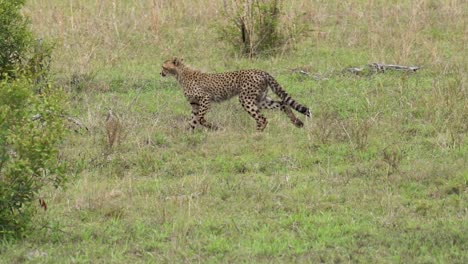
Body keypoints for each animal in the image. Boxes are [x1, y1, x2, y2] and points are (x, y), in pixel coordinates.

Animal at [161, 58, 310, 132]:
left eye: (163, 66)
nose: (160, 73)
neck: (179, 73)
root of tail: (260, 71)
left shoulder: (205, 99)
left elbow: (200, 118)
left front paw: (214, 128)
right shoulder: (195, 104)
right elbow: (193, 119)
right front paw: (188, 134)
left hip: (245, 99)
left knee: (262, 118)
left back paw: (256, 134)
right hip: (260, 99)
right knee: (282, 104)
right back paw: (297, 122)